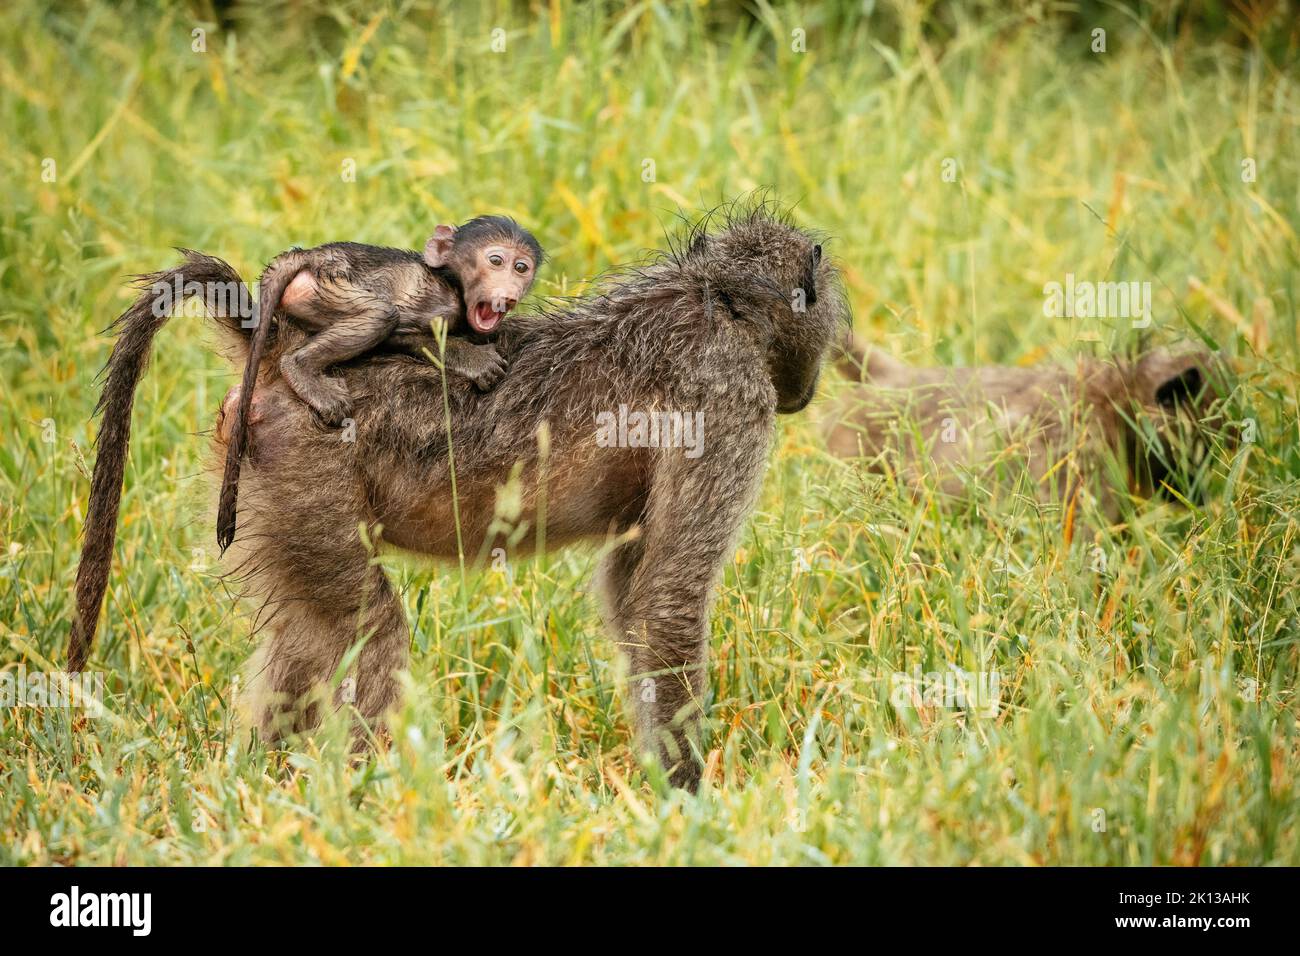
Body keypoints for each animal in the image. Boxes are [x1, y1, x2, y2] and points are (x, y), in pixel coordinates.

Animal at [216, 215, 544, 552]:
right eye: (496, 261)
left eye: (521, 267)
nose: (509, 286)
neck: (451, 281)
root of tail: (307, 255)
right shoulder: (435, 302)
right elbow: (404, 333)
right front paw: (475, 360)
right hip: (329, 287)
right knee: (381, 315)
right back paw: (300, 368)